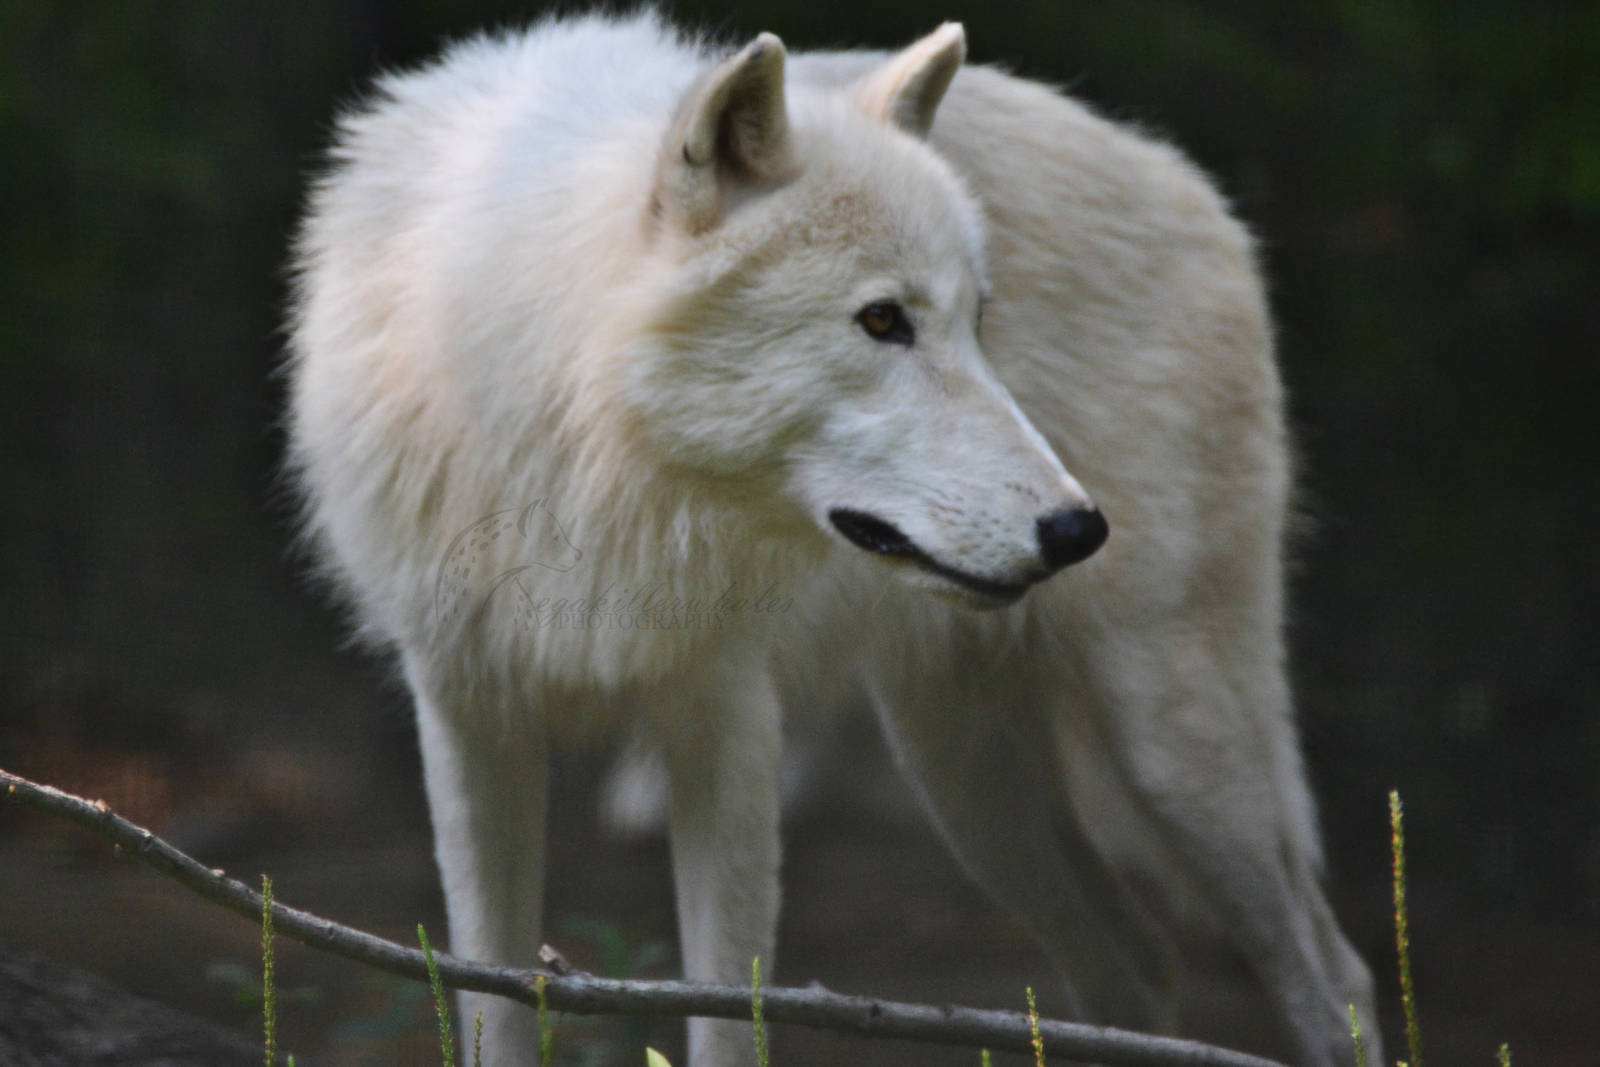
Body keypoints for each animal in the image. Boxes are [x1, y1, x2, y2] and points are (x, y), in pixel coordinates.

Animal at [286, 11, 1378, 1066]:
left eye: (979, 321)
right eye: (883, 320)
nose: (1079, 529)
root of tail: (1185, 175)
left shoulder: (729, 721)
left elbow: (726, 1018)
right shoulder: (470, 715)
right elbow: (492, 1001)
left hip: (1173, 752)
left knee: (1336, 980)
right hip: (966, 781)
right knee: (1137, 967)